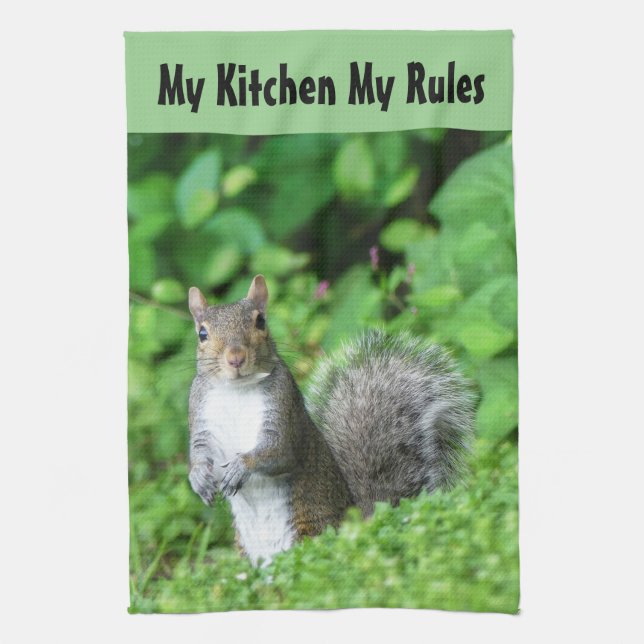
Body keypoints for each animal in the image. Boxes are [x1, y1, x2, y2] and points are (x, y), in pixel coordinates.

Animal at [187, 275, 474, 566]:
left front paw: (240, 466)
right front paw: (198, 477)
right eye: (202, 334)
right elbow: (198, 452)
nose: (235, 358)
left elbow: (279, 452)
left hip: (309, 529)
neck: (237, 391)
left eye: (260, 321)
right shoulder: (199, 416)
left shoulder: (284, 412)